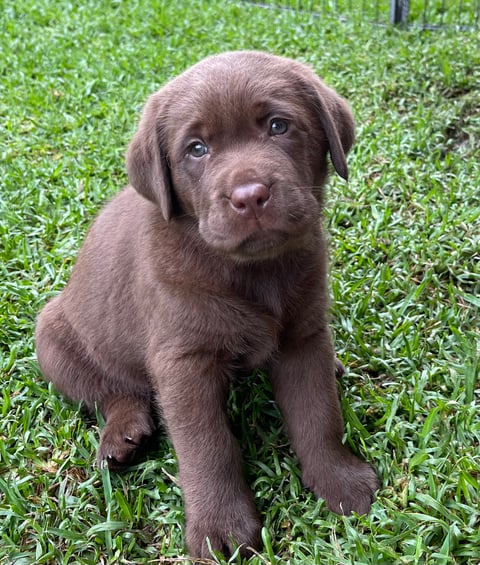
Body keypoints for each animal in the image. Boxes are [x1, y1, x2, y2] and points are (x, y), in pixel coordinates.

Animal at [36, 50, 378, 556]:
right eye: (196, 149)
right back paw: (123, 435)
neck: (251, 272)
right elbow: (207, 446)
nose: (249, 196)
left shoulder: (305, 336)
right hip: (52, 339)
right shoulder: (183, 362)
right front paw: (220, 528)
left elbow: (318, 414)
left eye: (278, 126)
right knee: (112, 390)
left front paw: (340, 480)